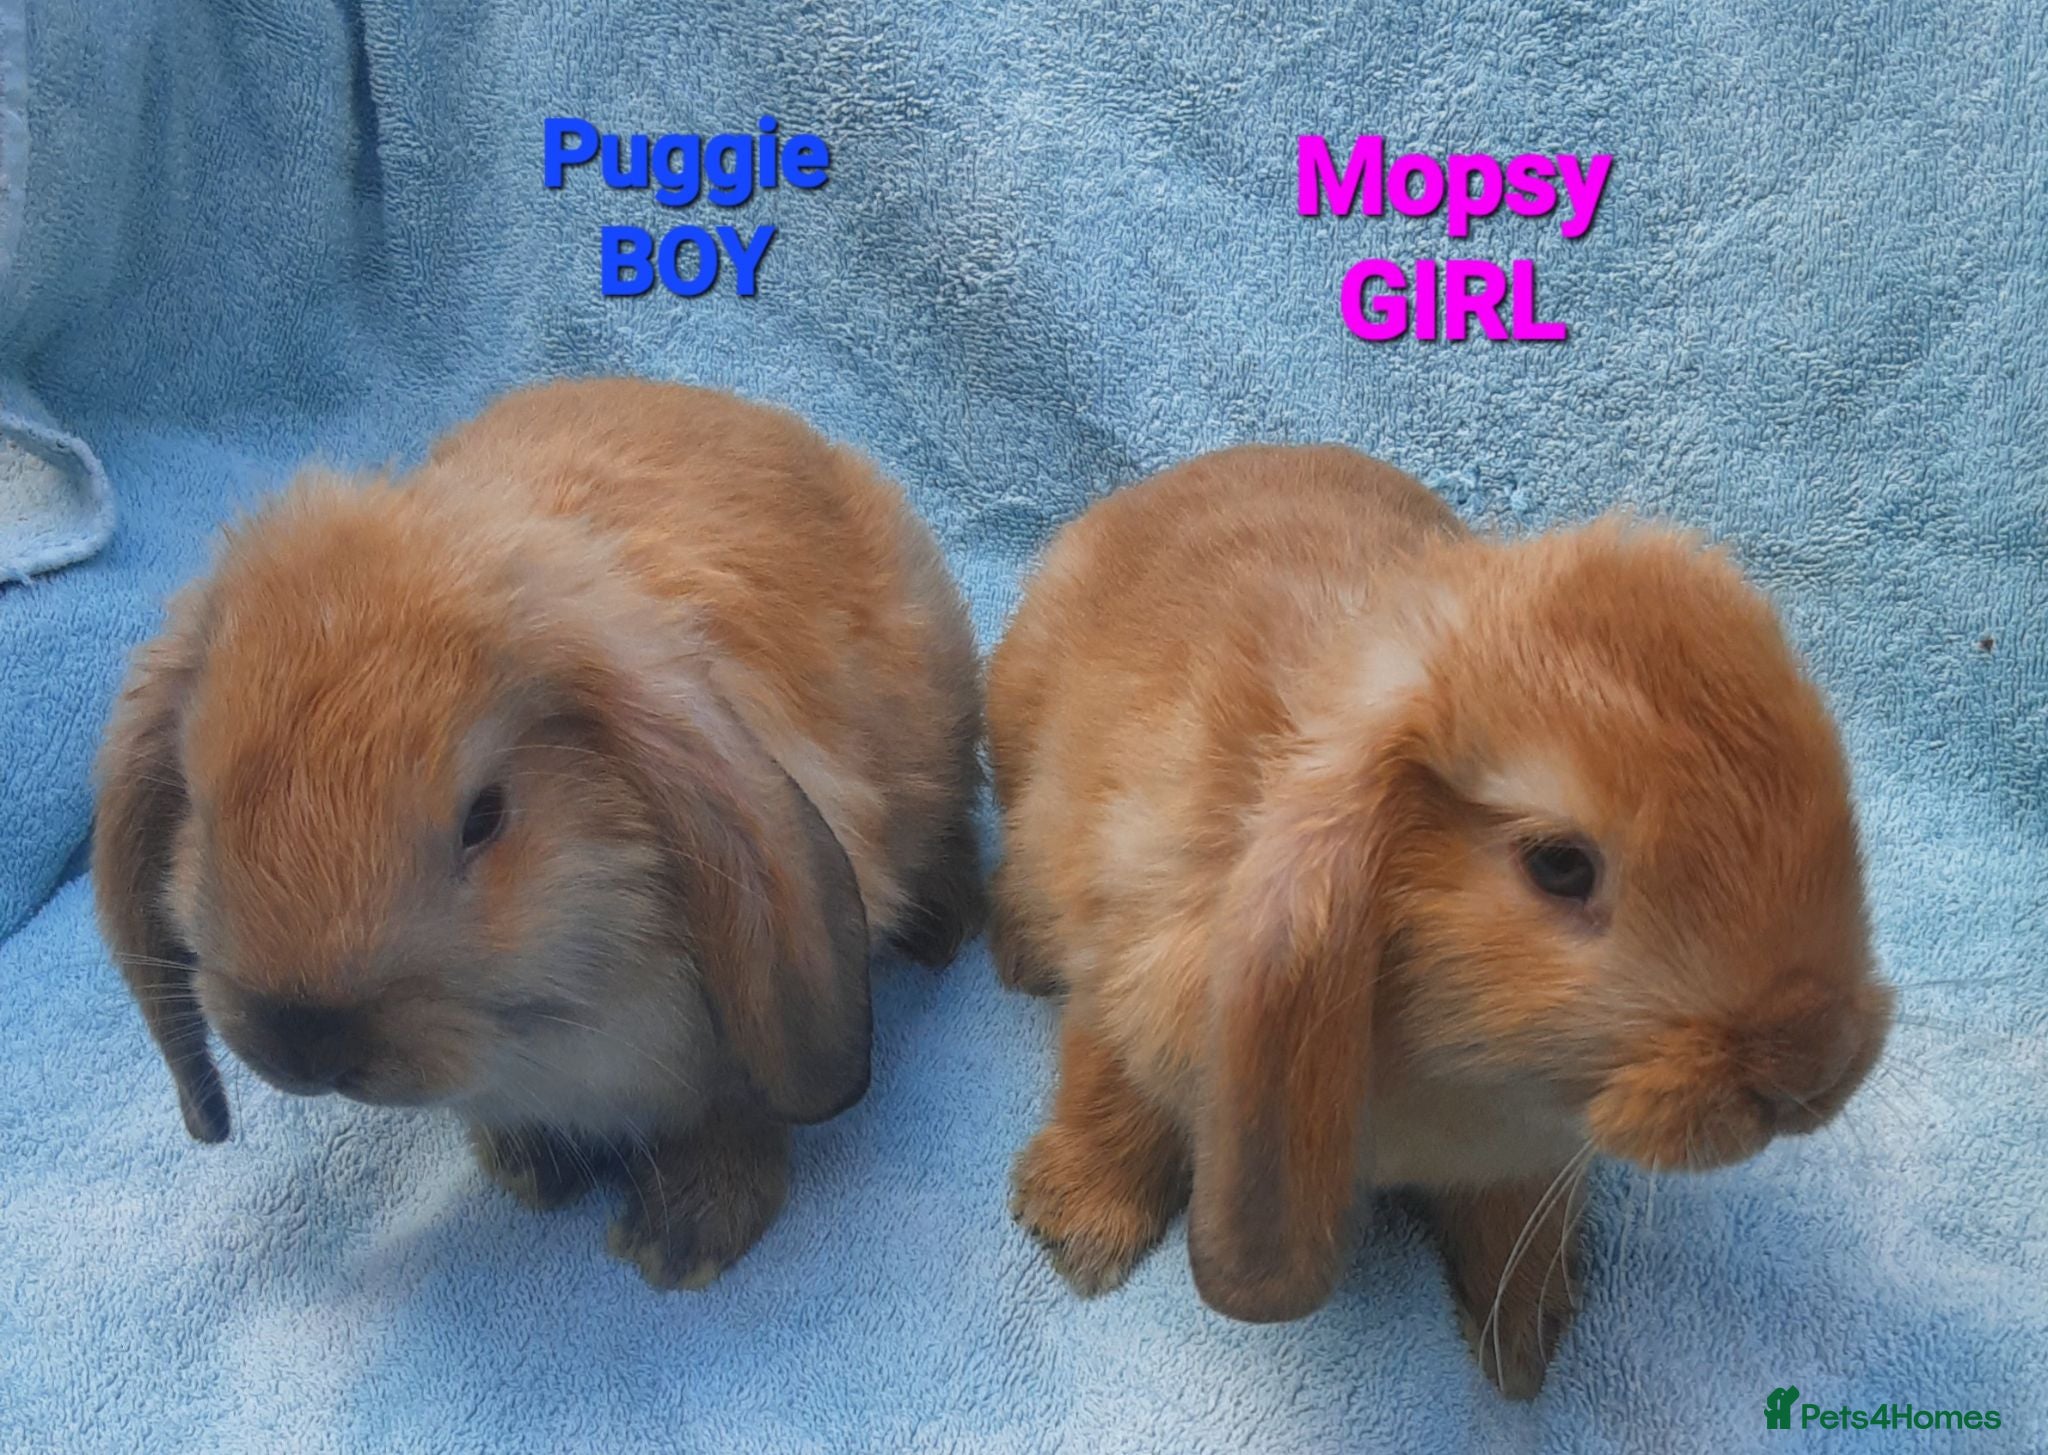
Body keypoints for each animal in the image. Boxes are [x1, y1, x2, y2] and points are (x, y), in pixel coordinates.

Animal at [93, 378, 985, 1290]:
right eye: (200, 803)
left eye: (484, 817)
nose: (298, 1043)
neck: (554, 1028)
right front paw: (528, 1167)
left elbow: (739, 1117)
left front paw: (681, 1240)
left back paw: (946, 928)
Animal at [987, 444, 1892, 1397]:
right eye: (1559, 864)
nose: (1816, 1063)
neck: (1457, 1068)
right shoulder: (1128, 977)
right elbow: (1107, 1091)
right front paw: (1078, 1231)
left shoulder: (1529, 1156)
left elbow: (1512, 1227)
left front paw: (1525, 1343)